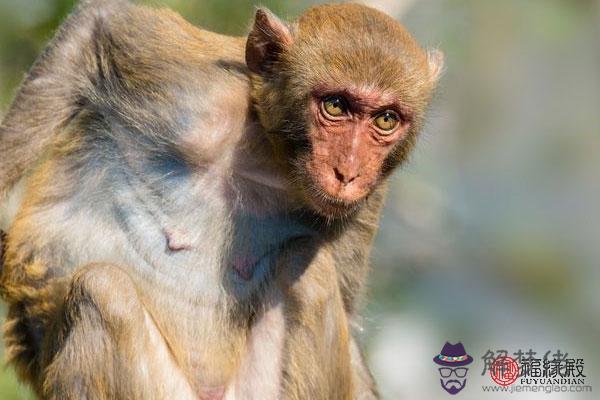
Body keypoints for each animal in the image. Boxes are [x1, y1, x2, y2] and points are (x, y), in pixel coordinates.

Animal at [0, 1, 440, 398]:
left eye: (386, 119)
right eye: (335, 105)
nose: (347, 172)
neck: (268, 152)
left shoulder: (370, 197)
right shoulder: (188, 86)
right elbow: (100, 23)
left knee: (307, 264)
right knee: (102, 288)